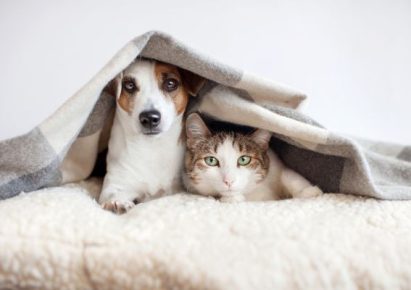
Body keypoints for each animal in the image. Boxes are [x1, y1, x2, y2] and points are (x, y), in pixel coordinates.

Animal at [98, 58, 204, 213]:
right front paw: (116, 203)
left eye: (170, 83)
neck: (151, 148)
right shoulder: (116, 182)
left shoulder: (176, 187)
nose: (149, 118)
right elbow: (112, 194)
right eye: (129, 85)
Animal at [184, 112, 326, 202]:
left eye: (244, 159)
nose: (229, 181)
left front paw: (309, 192)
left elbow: (287, 173)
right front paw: (232, 198)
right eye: (211, 160)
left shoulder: (275, 163)